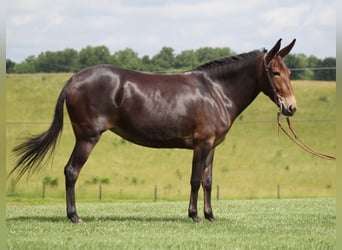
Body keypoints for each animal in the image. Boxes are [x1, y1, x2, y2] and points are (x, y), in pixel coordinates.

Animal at [9, 38, 296, 223]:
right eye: (274, 72)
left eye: (289, 72)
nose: (291, 107)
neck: (215, 91)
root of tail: (73, 79)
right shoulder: (201, 144)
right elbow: (194, 180)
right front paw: (194, 216)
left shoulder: (212, 146)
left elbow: (208, 181)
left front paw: (210, 216)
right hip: (87, 137)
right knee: (71, 171)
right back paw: (74, 216)